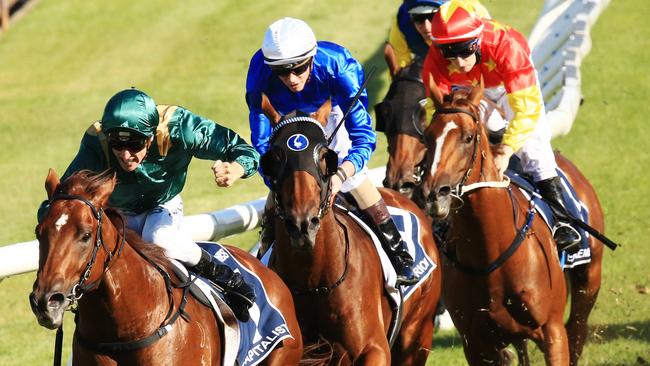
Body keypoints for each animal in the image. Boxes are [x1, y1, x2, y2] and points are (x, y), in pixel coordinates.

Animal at [256, 98, 440, 364]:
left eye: (325, 156)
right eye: (274, 158)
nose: (302, 224)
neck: (315, 284)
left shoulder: (375, 348)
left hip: (417, 333)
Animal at [416, 84, 604, 364]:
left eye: (468, 137)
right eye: (428, 137)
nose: (433, 194)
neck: (491, 251)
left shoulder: (552, 331)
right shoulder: (476, 344)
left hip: (588, 281)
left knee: (577, 331)